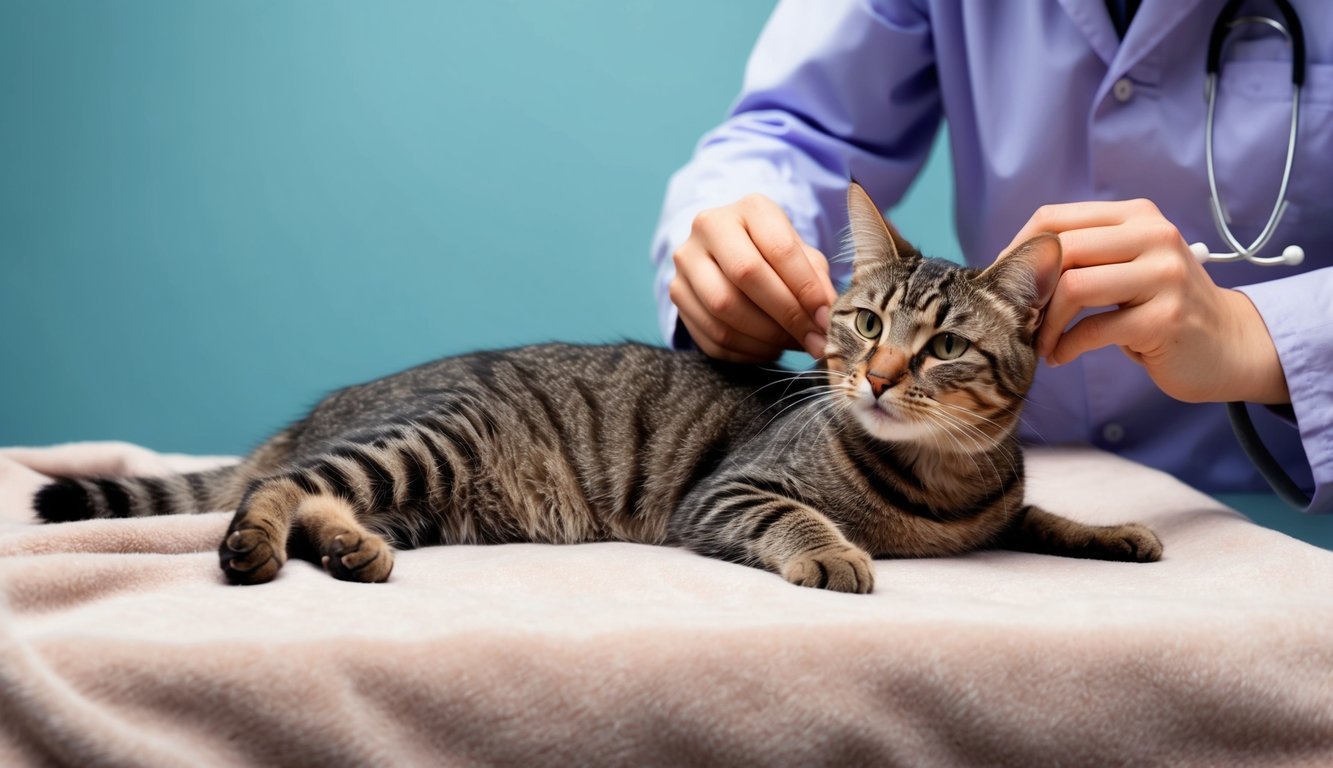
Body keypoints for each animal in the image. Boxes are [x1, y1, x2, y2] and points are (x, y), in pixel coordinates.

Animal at [31, 182, 1157, 592]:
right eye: (867, 323)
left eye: (944, 347)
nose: (876, 378)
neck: (936, 486)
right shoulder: (731, 492)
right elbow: (797, 521)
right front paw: (836, 552)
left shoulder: (995, 507)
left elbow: (1040, 516)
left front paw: (1111, 533)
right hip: (425, 444)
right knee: (279, 489)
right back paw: (254, 546)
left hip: (423, 499)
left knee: (319, 502)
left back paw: (349, 550)